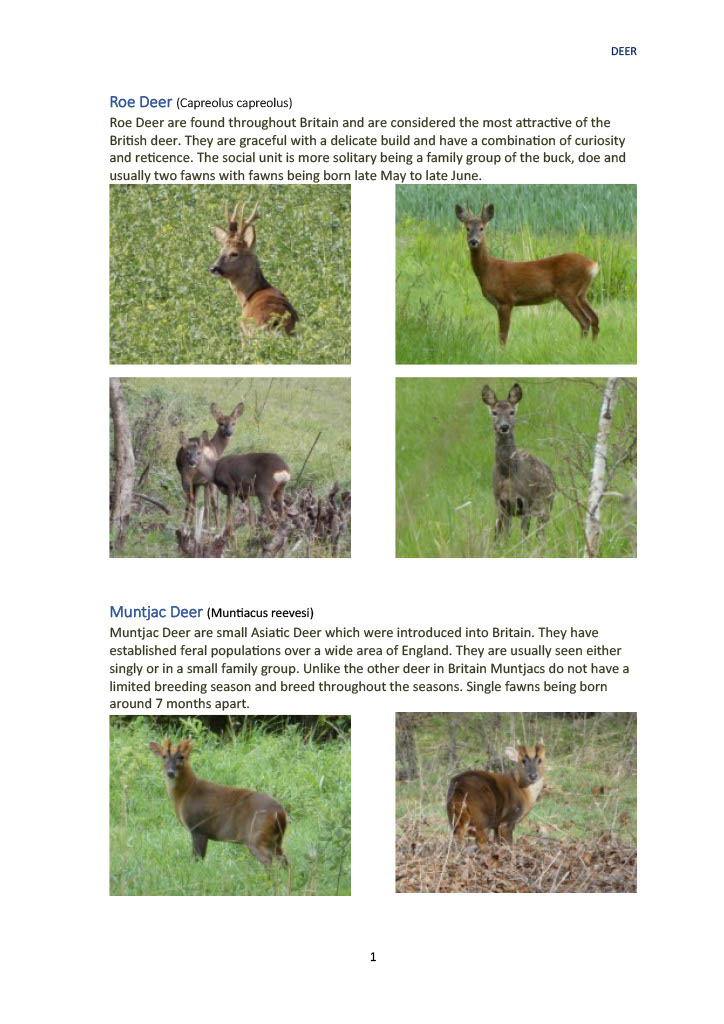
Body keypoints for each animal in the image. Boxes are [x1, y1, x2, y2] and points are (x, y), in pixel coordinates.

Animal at [150, 738, 287, 866]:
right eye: (163, 756)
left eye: (181, 757)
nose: (170, 772)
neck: (186, 793)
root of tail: (280, 812)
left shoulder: (198, 827)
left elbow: (197, 859)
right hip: (276, 839)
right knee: (284, 861)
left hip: (257, 836)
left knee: (270, 863)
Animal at [455, 202, 599, 346]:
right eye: (467, 228)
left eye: (481, 228)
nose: (473, 241)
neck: (489, 270)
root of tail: (592, 265)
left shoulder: (506, 300)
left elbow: (503, 335)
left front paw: (501, 351)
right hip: (581, 293)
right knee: (594, 318)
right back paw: (592, 345)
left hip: (568, 291)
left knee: (585, 320)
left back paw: (581, 345)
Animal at [481, 384, 555, 539]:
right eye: (494, 412)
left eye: (512, 412)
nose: (504, 427)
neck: (508, 475)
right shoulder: (501, 504)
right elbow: (504, 536)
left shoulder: (525, 502)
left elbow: (524, 536)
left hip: (546, 505)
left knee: (540, 533)